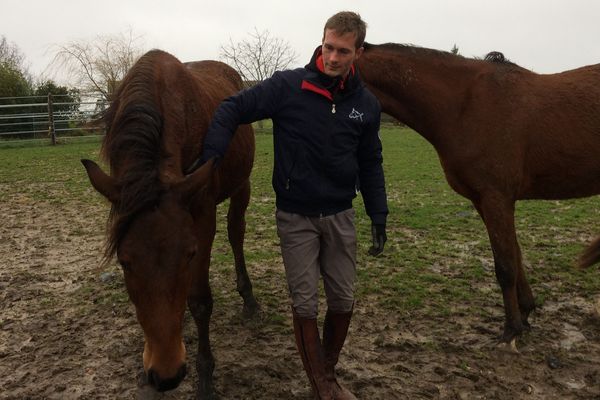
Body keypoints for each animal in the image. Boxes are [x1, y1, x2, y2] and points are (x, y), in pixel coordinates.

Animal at [80, 50, 258, 396]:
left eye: (190, 254)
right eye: (124, 261)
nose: (166, 375)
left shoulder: (202, 216)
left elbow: (200, 300)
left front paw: (205, 377)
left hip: (241, 185)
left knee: (236, 232)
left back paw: (249, 299)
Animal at [356, 42, 600, 346]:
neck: (465, 107)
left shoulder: (497, 198)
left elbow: (505, 265)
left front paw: (511, 330)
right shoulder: (483, 201)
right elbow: (516, 256)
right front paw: (526, 312)